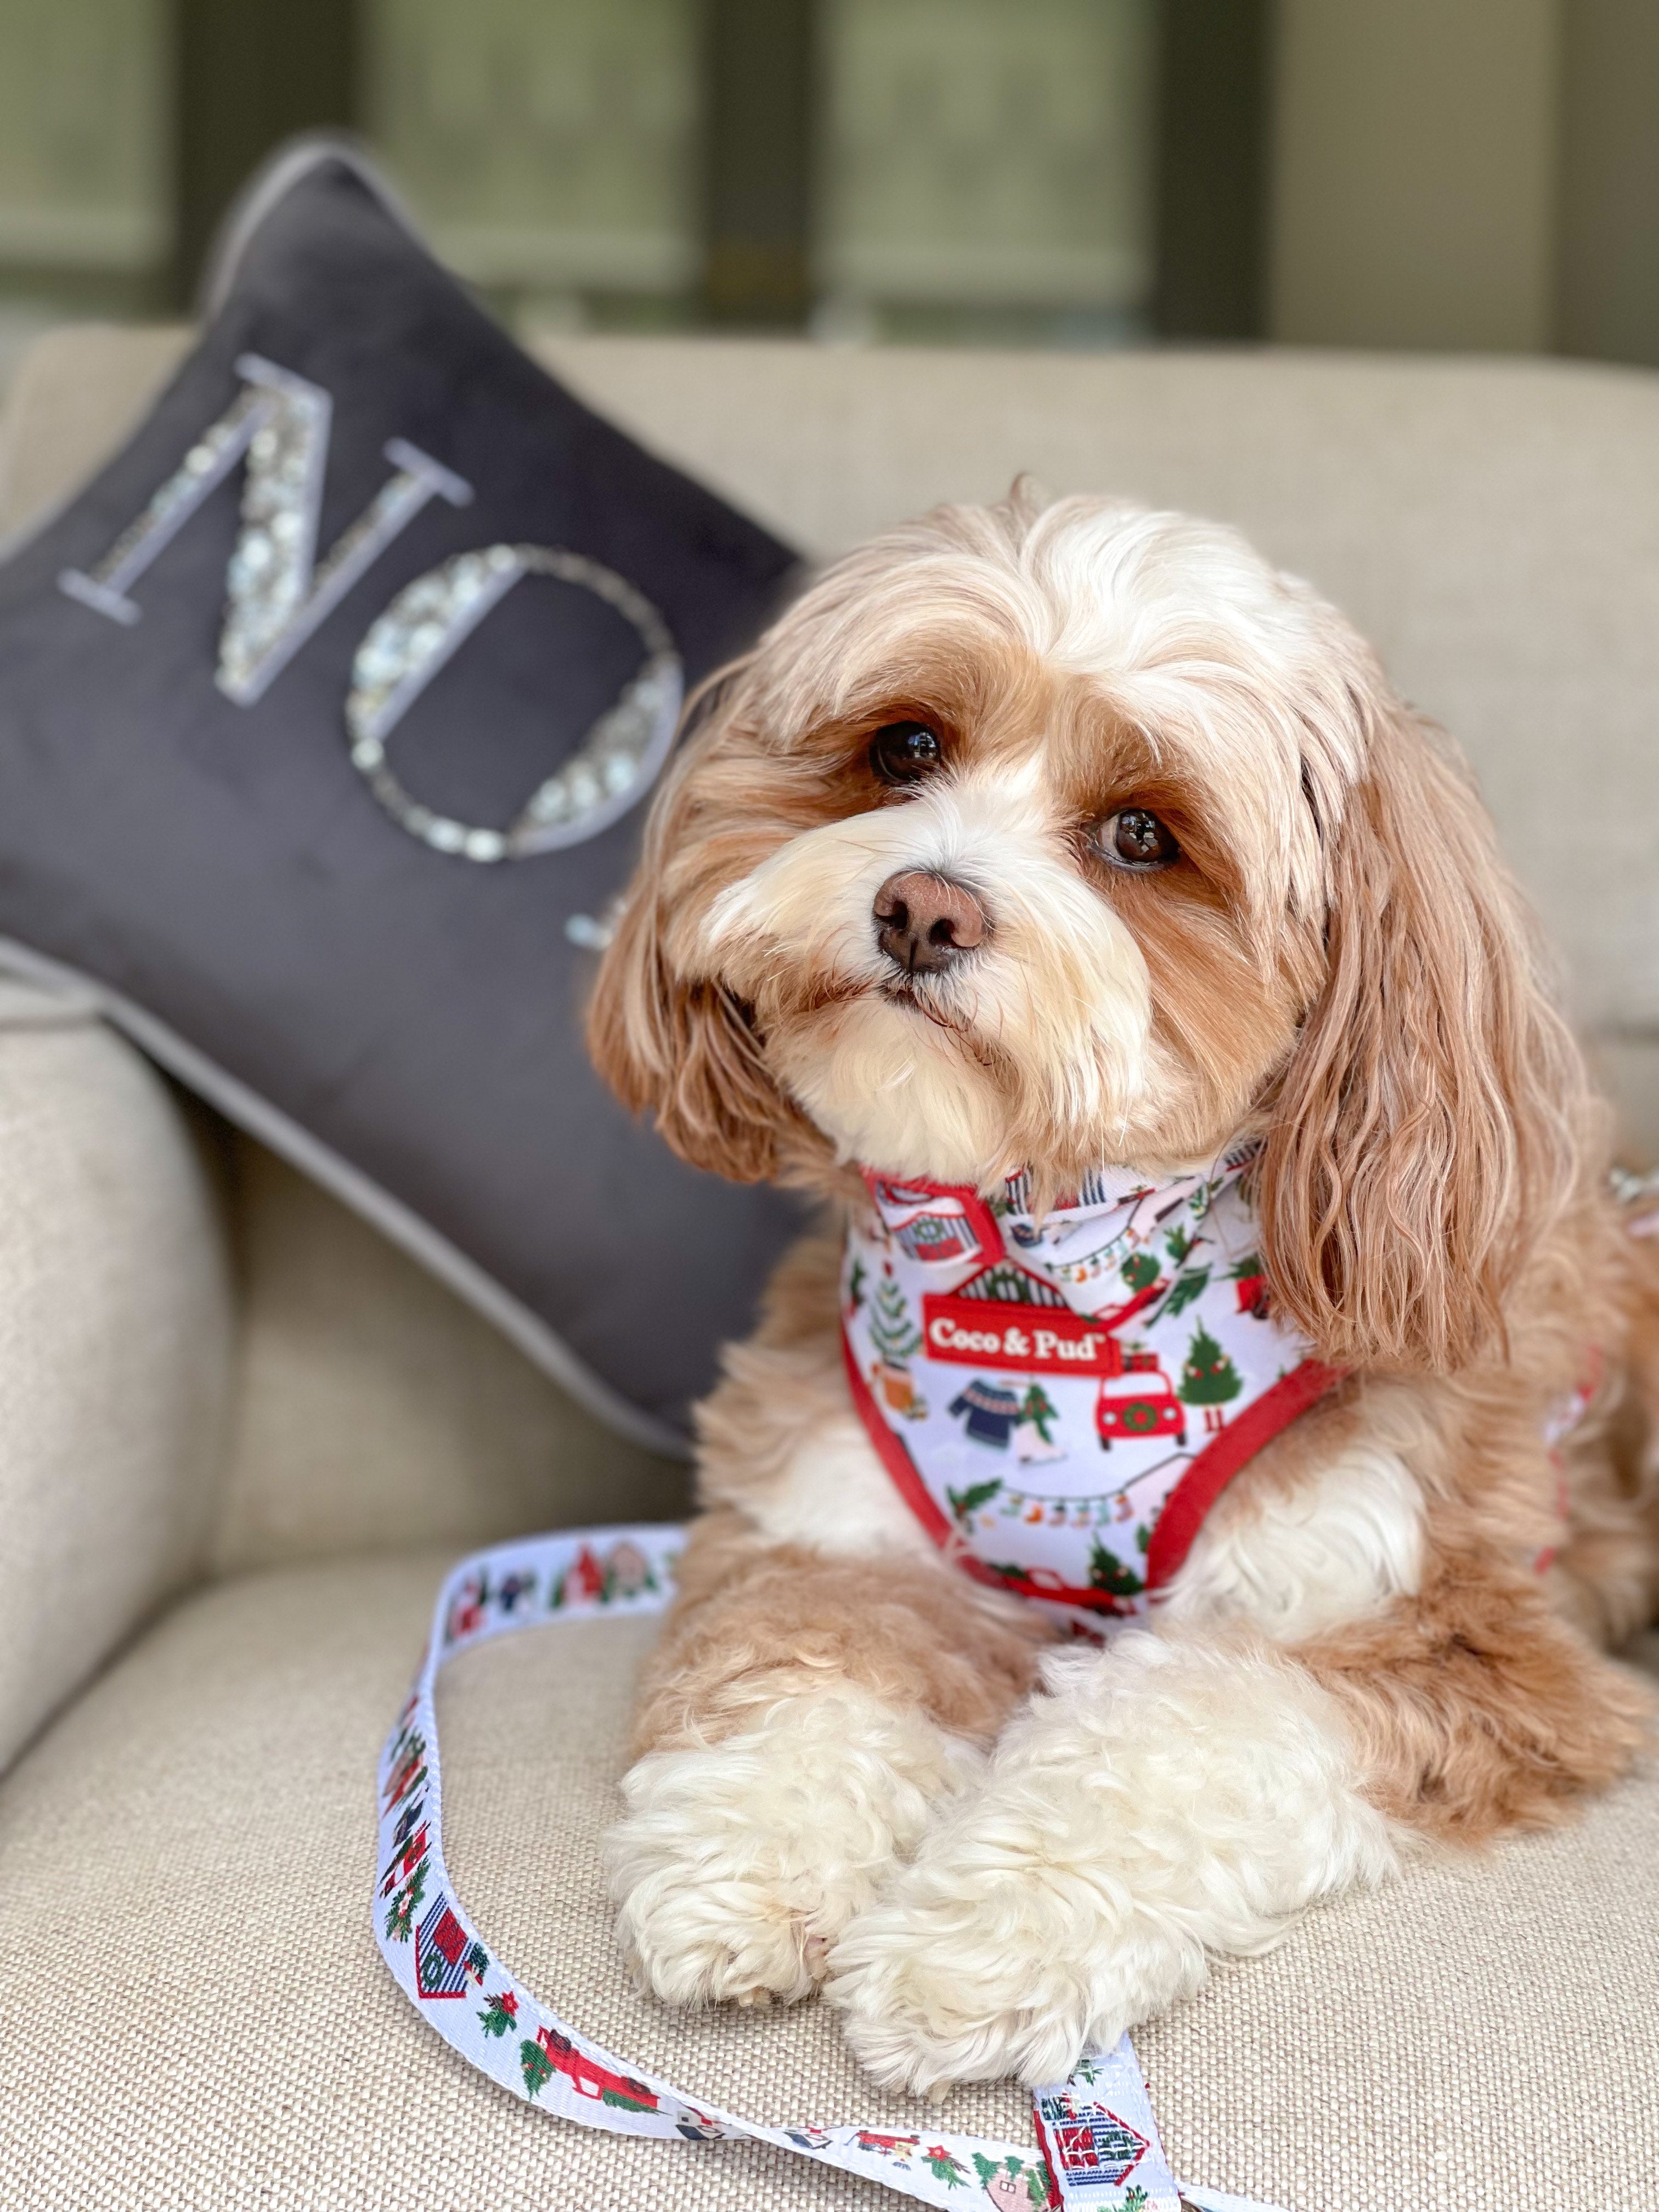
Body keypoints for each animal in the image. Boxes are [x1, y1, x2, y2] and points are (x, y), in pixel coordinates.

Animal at [584, 484, 1659, 2088]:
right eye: (906, 748)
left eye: (1144, 834)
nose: (922, 907)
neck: (1040, 1282)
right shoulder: (840, 1528)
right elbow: (799, 1671)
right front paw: (746, 1866)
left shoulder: (1448, 1636)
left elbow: (1178, 1731)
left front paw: (978, 1946)